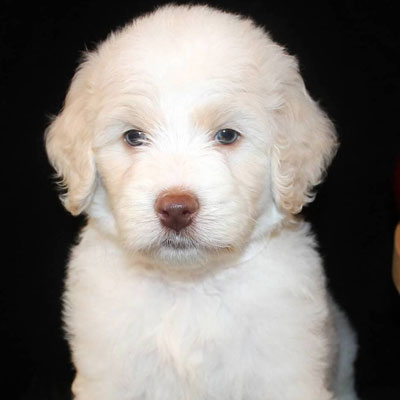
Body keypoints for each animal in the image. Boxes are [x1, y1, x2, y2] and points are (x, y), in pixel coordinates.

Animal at [46, 3, 360, 400]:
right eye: (133, 137)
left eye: (227, 135)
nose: (176, 209)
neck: (189, 286)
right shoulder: (110, 375)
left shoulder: (286, 372)